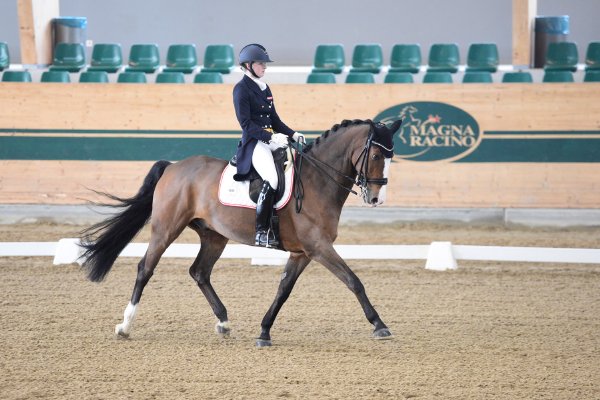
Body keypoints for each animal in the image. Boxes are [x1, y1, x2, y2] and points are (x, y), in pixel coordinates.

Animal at [77, 117, 400, 346]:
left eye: (391, 157)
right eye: (375, 156)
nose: (376, 199)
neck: (316, 181)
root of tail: (173, 167)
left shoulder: (302, 252)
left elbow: (283, 290)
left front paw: (264, 331)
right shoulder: (318, 247)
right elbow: (354, 281)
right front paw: (380, 325)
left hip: (214, 235)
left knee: (199, 272)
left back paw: (223, 322)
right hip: (166, 228)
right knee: (146, 268)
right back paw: (125, 326)